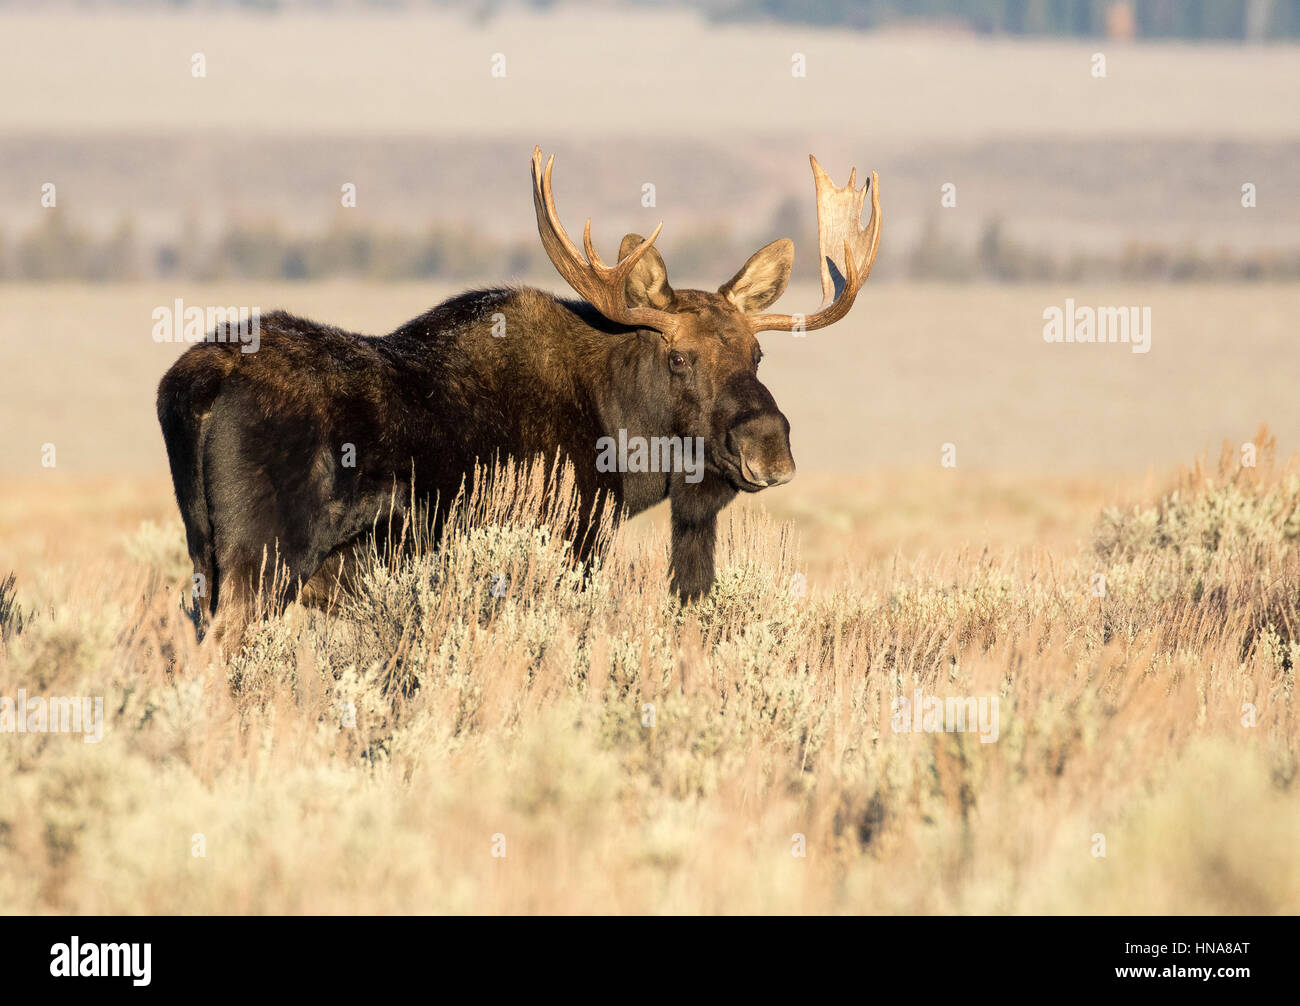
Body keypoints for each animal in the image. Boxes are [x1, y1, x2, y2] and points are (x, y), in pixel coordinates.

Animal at [154, 146, 883, 642]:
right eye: (680, 358)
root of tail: (193, 384)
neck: (623, 438)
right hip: (261, 564)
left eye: (757, 354)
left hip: (207, 560)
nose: (770, 446)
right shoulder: (573, 540)